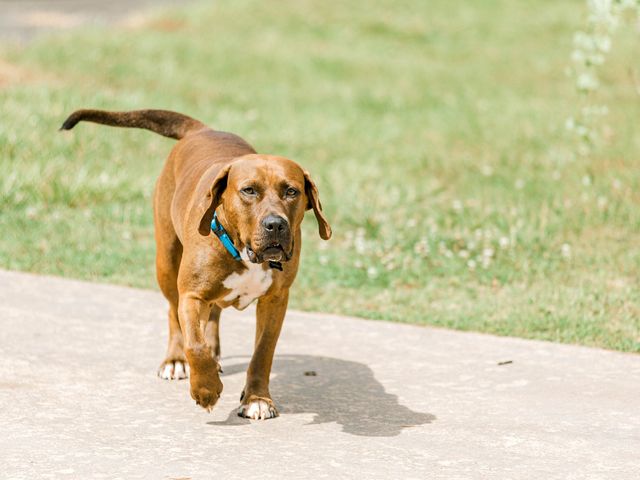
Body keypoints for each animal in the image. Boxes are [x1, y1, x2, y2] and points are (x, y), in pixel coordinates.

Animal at [60, 109, 332, 420]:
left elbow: (262, 352)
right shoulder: (191, 295)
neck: (242, 251)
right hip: (166, 263)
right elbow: (195, 343)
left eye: (291, 191)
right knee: (173, 313)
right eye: (249, 190)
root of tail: (203, 130)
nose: (275, 224)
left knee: (214, 315)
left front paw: (257, 398)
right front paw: (205, 389)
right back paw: (176, 360)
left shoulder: (275, 300)